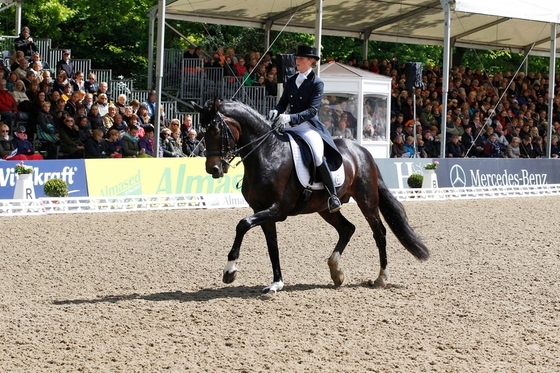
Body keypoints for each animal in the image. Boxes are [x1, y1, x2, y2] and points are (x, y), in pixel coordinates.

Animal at [192, 99, 428, 294]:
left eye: (216, 130)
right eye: (202, 132)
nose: (213, 169)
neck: (267, 153)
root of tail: (363, 151)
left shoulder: (277, 210)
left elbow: (242, 224)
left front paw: (230, 271)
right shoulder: (263, 211)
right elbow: (272, 246)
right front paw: (276, 283)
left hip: (367, 200)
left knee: (379, 232)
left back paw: (381, 278)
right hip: (325, 208)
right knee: (347, 228)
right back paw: (336, 272)